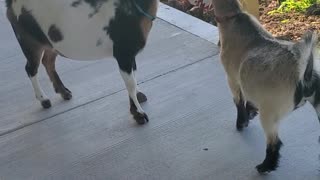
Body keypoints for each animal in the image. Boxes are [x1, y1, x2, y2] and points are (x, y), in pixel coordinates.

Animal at [5, 0, 159, 124]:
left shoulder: (130, 54)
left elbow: (134, 74)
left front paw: (139, 96)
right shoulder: (123, 53)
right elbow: (130, 83)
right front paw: (139, 114)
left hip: (52, 42)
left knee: (47, 61)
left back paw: (63, 91)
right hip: (28, 39)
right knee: (31, 69)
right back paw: (44, 100)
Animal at [212, 0, 320, 174]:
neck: (234, 18)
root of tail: (305, 75)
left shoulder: (232, 78)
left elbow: (238, 101)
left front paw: (241, 123)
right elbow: (249, 99)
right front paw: (250, 113)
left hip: (270, 113)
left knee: (274, 142)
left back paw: (265, 166)